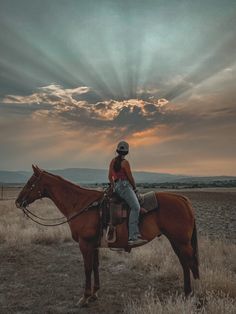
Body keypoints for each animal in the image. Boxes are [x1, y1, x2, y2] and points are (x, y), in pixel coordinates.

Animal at [15, 166, 199, 306]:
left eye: (30, 182)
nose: (17, 201)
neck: (81, 204)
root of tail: (183, 199)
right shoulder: (94, 245)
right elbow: (95, 266)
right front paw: (94, 293)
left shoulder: (85, 244)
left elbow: (87, 268)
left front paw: (85, 297)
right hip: (176, 241)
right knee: (185, 263)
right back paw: (187, 292)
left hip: (181, 242)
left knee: (189, 262)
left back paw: (191, 292)